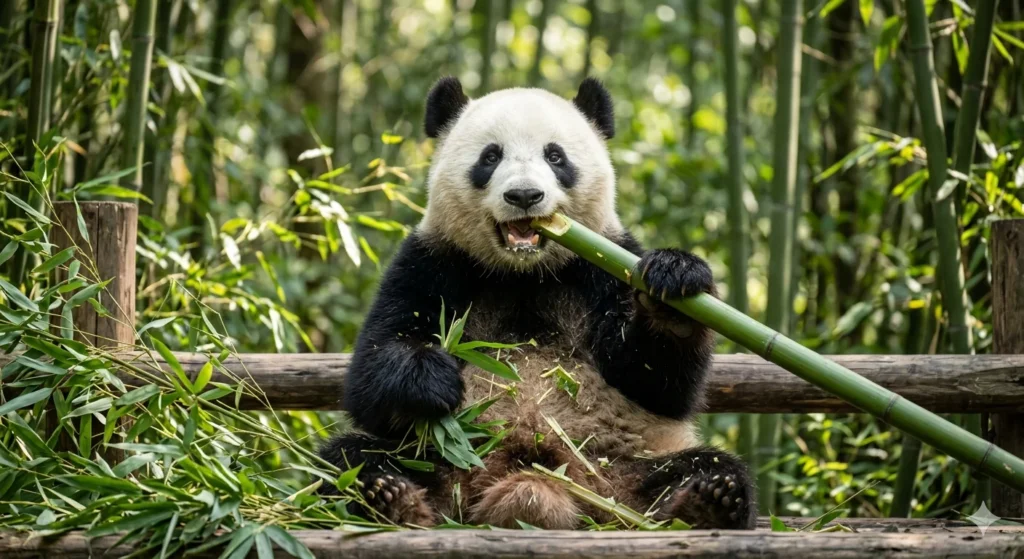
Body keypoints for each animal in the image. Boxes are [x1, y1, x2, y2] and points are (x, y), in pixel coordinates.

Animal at [319, 77, 757, 531]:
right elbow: (372, 374)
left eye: (555, 156)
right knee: (351, 458)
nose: (525, 195)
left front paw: (672, 288)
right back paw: (390, 497)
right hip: (442, 455)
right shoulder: (433, 263)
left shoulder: (606, 265)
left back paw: (706, 501)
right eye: (490, 156)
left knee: (704, 466)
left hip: (620, 464)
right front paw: (433, 377)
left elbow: (657, 384)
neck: (524, 273)